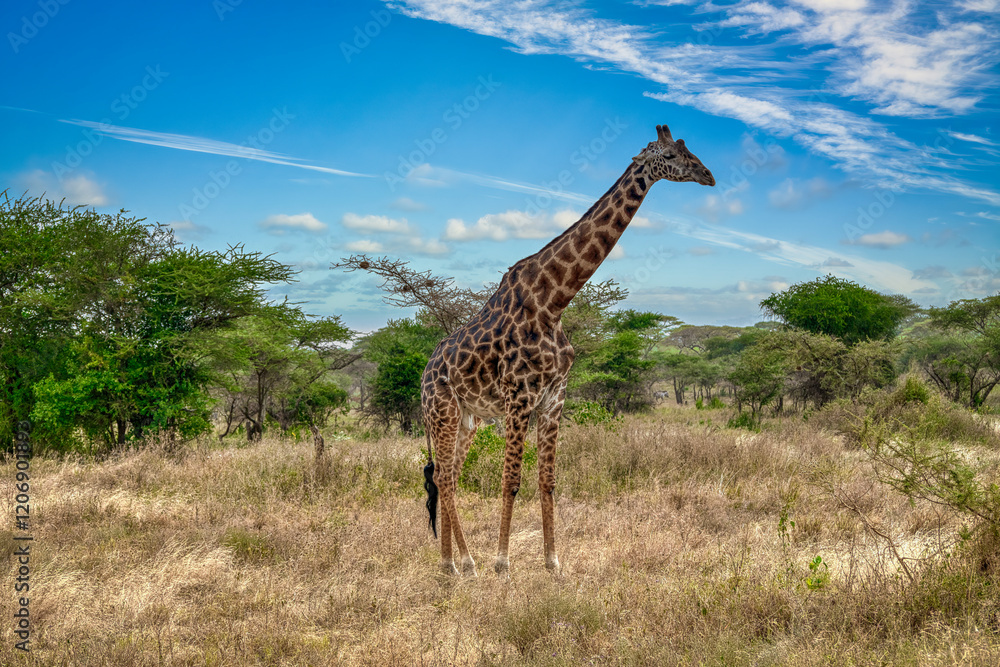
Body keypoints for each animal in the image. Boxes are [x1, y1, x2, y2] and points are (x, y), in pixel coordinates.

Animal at [421, 124, 715, 576]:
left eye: (689, 150)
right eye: (670, 155)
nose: (708, 176)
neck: (554, 302)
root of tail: (423, 376)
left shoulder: (554, 397)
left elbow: (548, 481)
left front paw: (552, 563)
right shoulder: (519, 396)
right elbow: (511, 480)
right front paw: (503, 563)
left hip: (470, 419)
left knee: (447, 476)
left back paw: (452, 564)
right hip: (443, 411)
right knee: (444, 479)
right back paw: (467, 563)